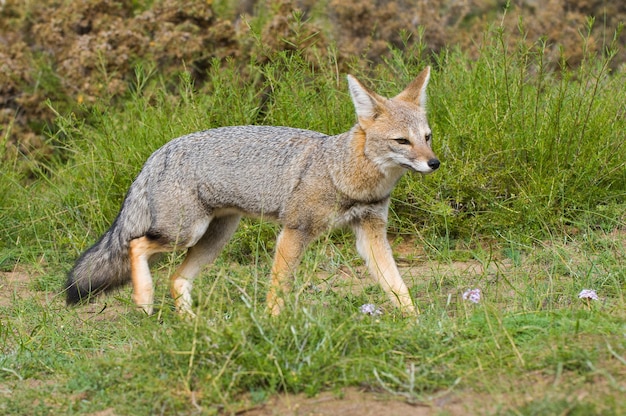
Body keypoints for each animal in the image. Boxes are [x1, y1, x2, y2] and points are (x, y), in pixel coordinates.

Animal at [62, 66, 434, 316]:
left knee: (177, 279)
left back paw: (194, 326)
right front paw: (272, 325)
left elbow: (397, 286)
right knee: (135, 244)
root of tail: (159, 151)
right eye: (402, 141)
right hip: (184, 233)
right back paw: (145, 300)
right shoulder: (295, 231)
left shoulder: (371, 233)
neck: (343, 171)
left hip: (212, 240)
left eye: (427, 137)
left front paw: (415, 323)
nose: (435, 163)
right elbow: (278, 288)